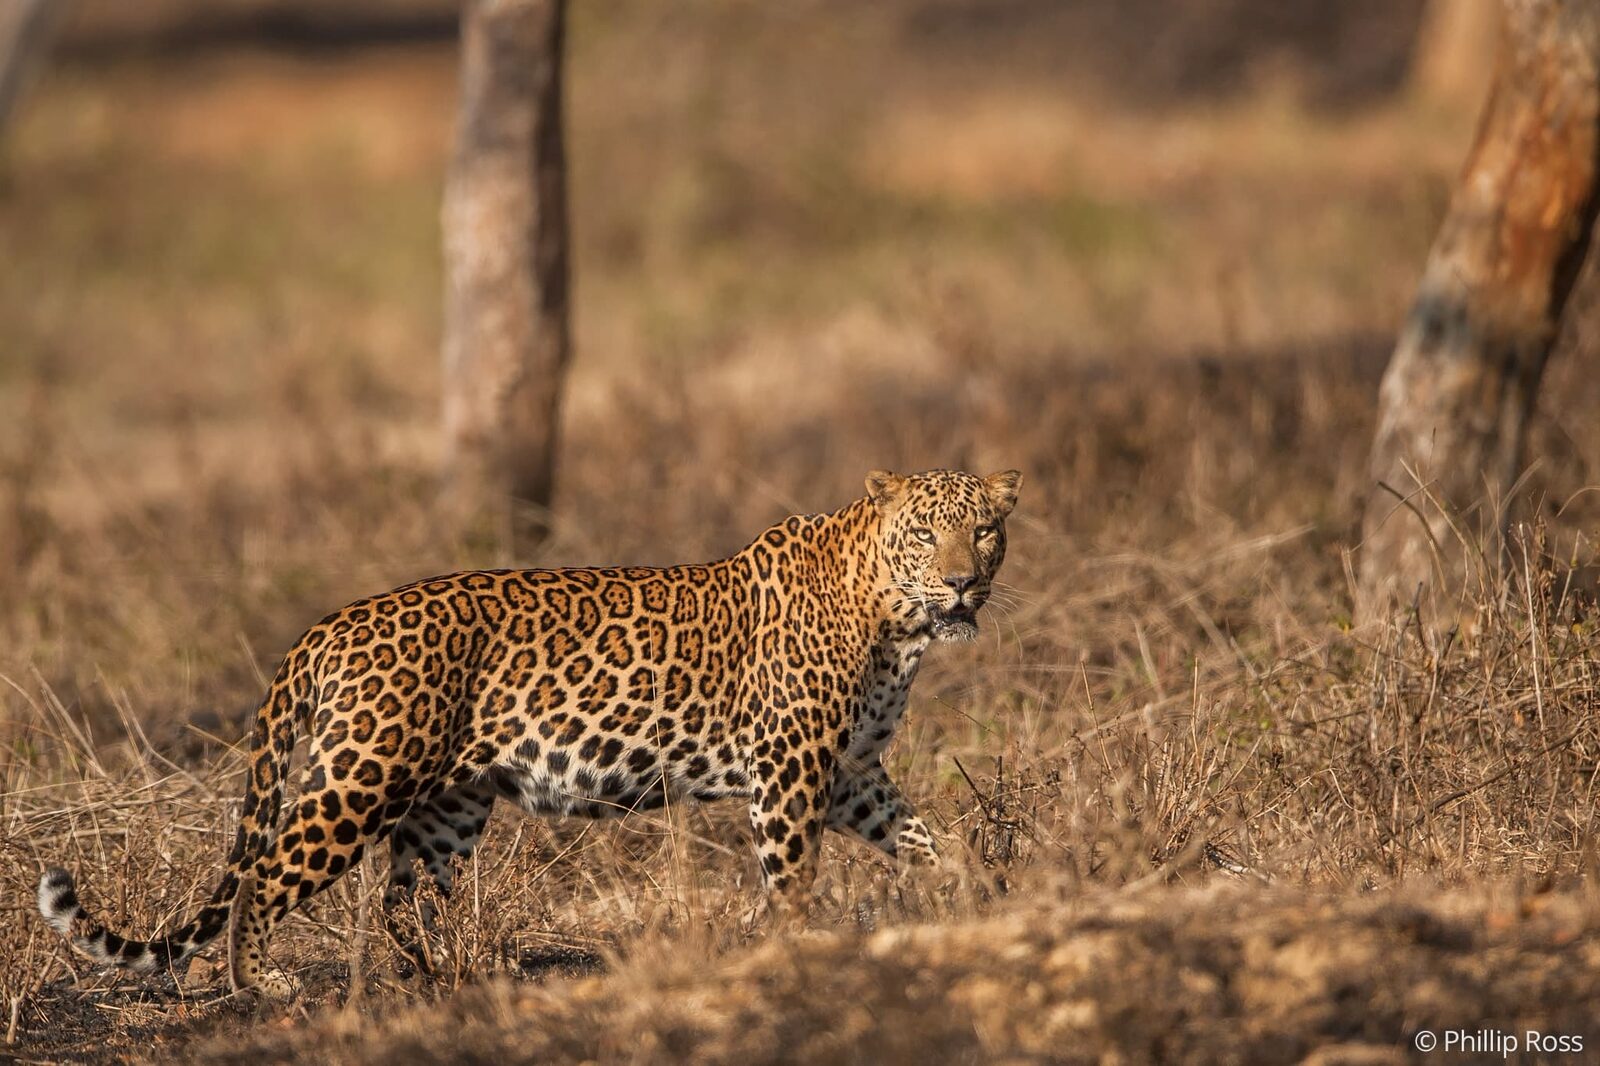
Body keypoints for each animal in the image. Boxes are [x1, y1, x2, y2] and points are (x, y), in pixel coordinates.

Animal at [38, 467, 1022, 995]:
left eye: (984, 531)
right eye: (924, 535)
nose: (964, 584)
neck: (894, 621)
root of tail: (326, 625)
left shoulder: (851, 774)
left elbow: (924, 836)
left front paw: (978, 895)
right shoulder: (791, 769)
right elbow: (792, 876)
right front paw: (790, 947)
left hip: (448, 803)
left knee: (402, 896)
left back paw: (447, 976)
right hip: (360, 778)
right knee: (267, 874)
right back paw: (260, 983)